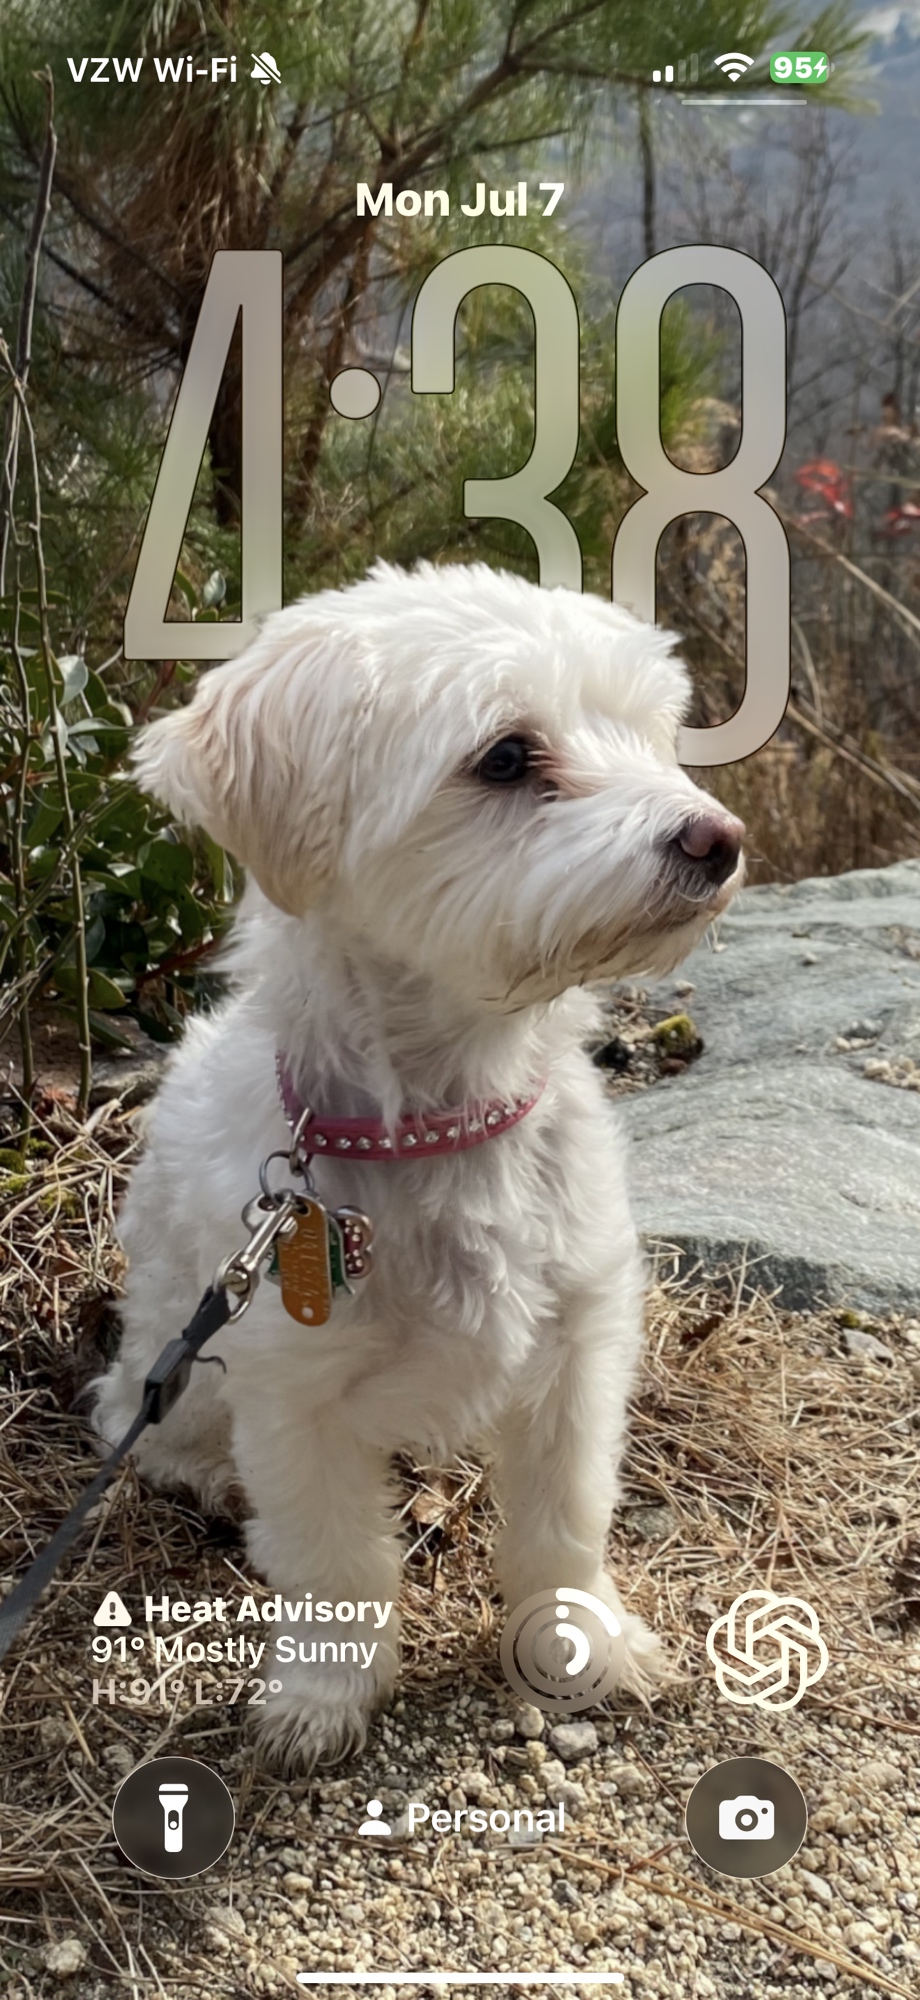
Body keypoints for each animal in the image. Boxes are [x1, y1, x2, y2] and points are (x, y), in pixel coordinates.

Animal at [94, 561, 744, 1773]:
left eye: (650, 732)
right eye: (506, 757)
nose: (715, 837)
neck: (444, 1124)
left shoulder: (580, 1347)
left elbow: (564, 1520)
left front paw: (580, 1639)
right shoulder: (292, 1396)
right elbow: (332, 1557)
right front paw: (324, 1691)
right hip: (177, 1349)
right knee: (134, 1414)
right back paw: (200, 1469)